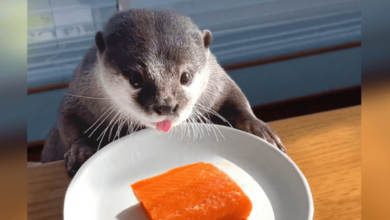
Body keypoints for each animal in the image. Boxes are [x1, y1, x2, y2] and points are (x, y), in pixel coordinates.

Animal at [42, 9, 286, 177]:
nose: (166, 105)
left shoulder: (217, 81)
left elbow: (235, 97)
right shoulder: (80, 91)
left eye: (186, 76)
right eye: (135, 78)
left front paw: (259, 129)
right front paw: (80, 151)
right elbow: (67, 119)